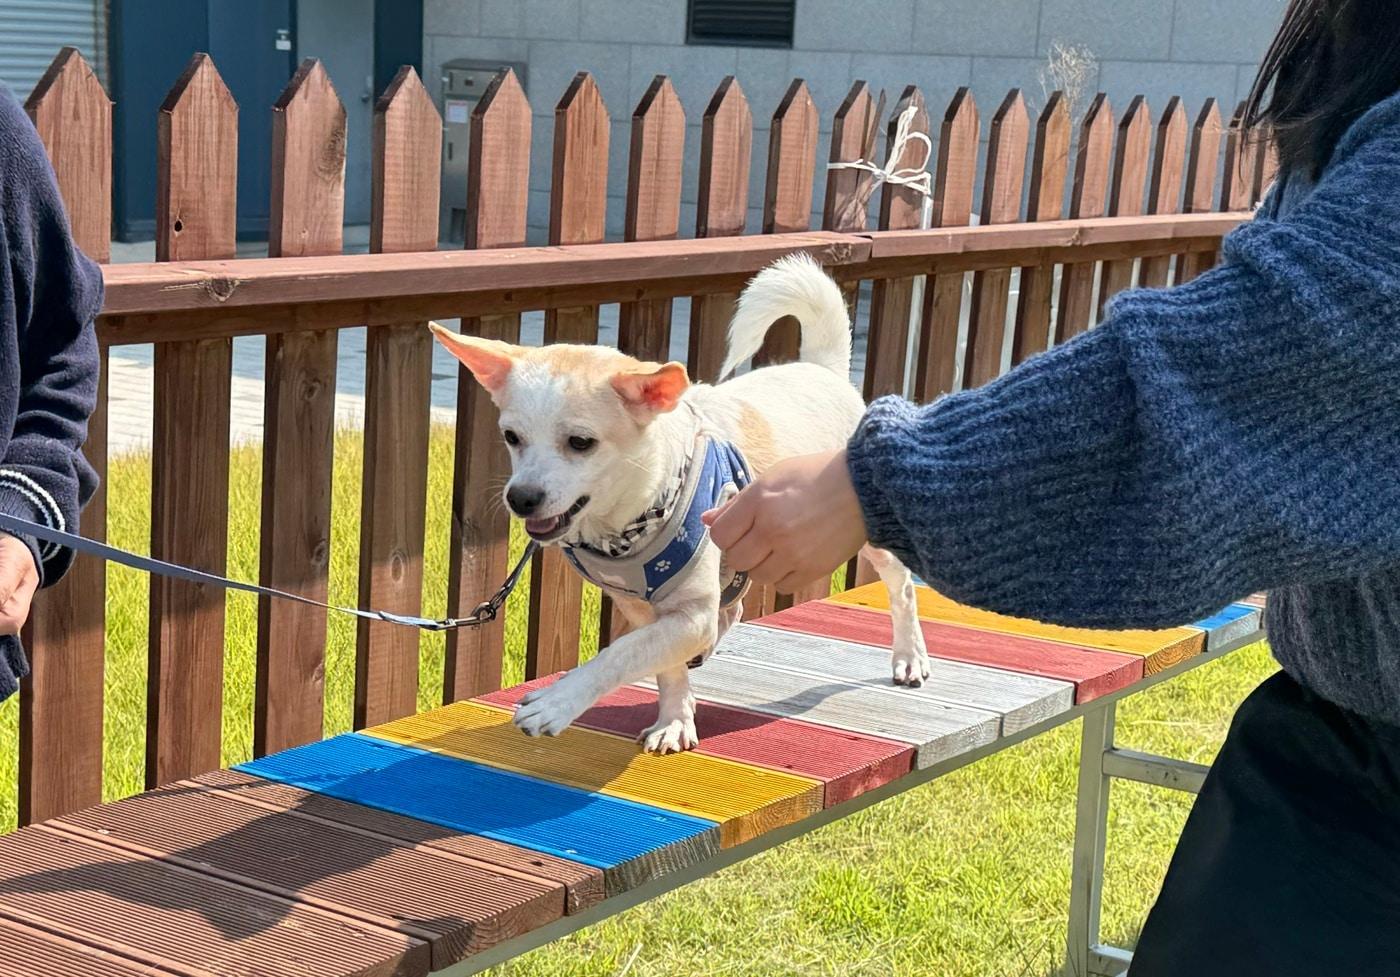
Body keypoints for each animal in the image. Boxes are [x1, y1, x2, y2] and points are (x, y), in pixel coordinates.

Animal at [425, 253, 929, 755]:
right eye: (511, 437)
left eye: (581, 443)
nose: (521, 497)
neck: (627, 524)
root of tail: (823, 369)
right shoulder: (646, 609)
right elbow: (661, 664)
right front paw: (674, 719)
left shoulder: (688, 614)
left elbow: (621, 652)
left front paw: (557, 702)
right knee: (731, 611)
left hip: (868, 537)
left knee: (902, 589)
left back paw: (909, 658)